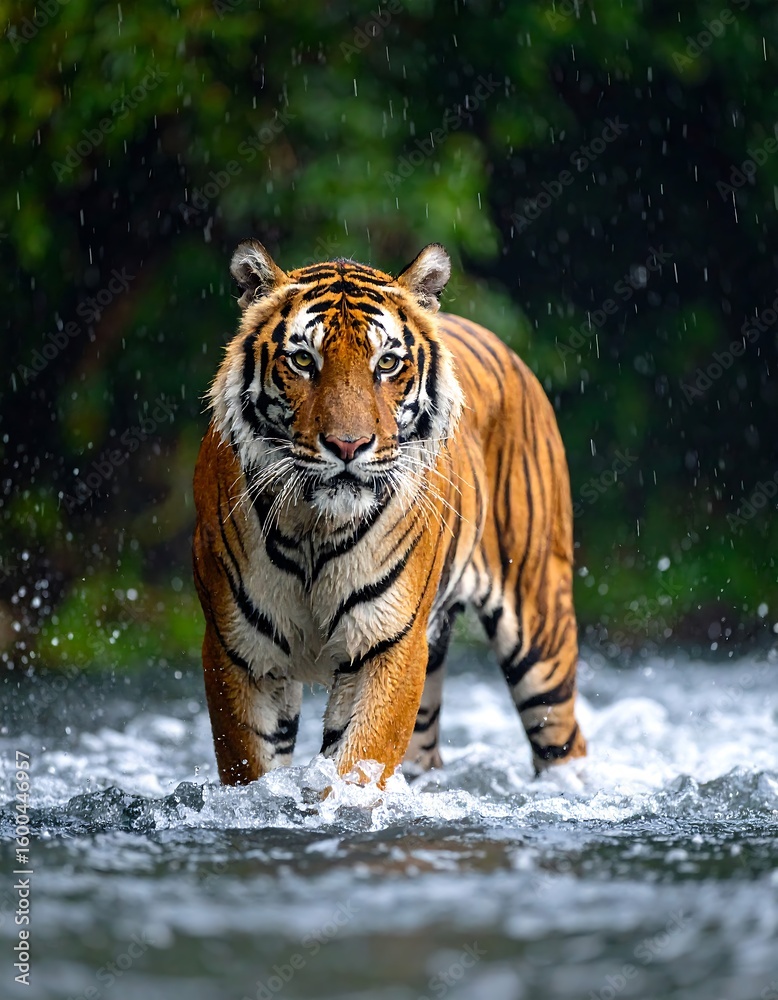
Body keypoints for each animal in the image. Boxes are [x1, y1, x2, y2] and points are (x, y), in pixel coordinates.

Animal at [192, 238, 587, 787]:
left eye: (386, 363)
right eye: (302, 360)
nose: (348, 445)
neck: (313, 528)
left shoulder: (386, 644)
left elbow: (357, 764)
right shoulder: (238, 651)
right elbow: (252, 765)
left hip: (541, 626)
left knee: (564, 740)